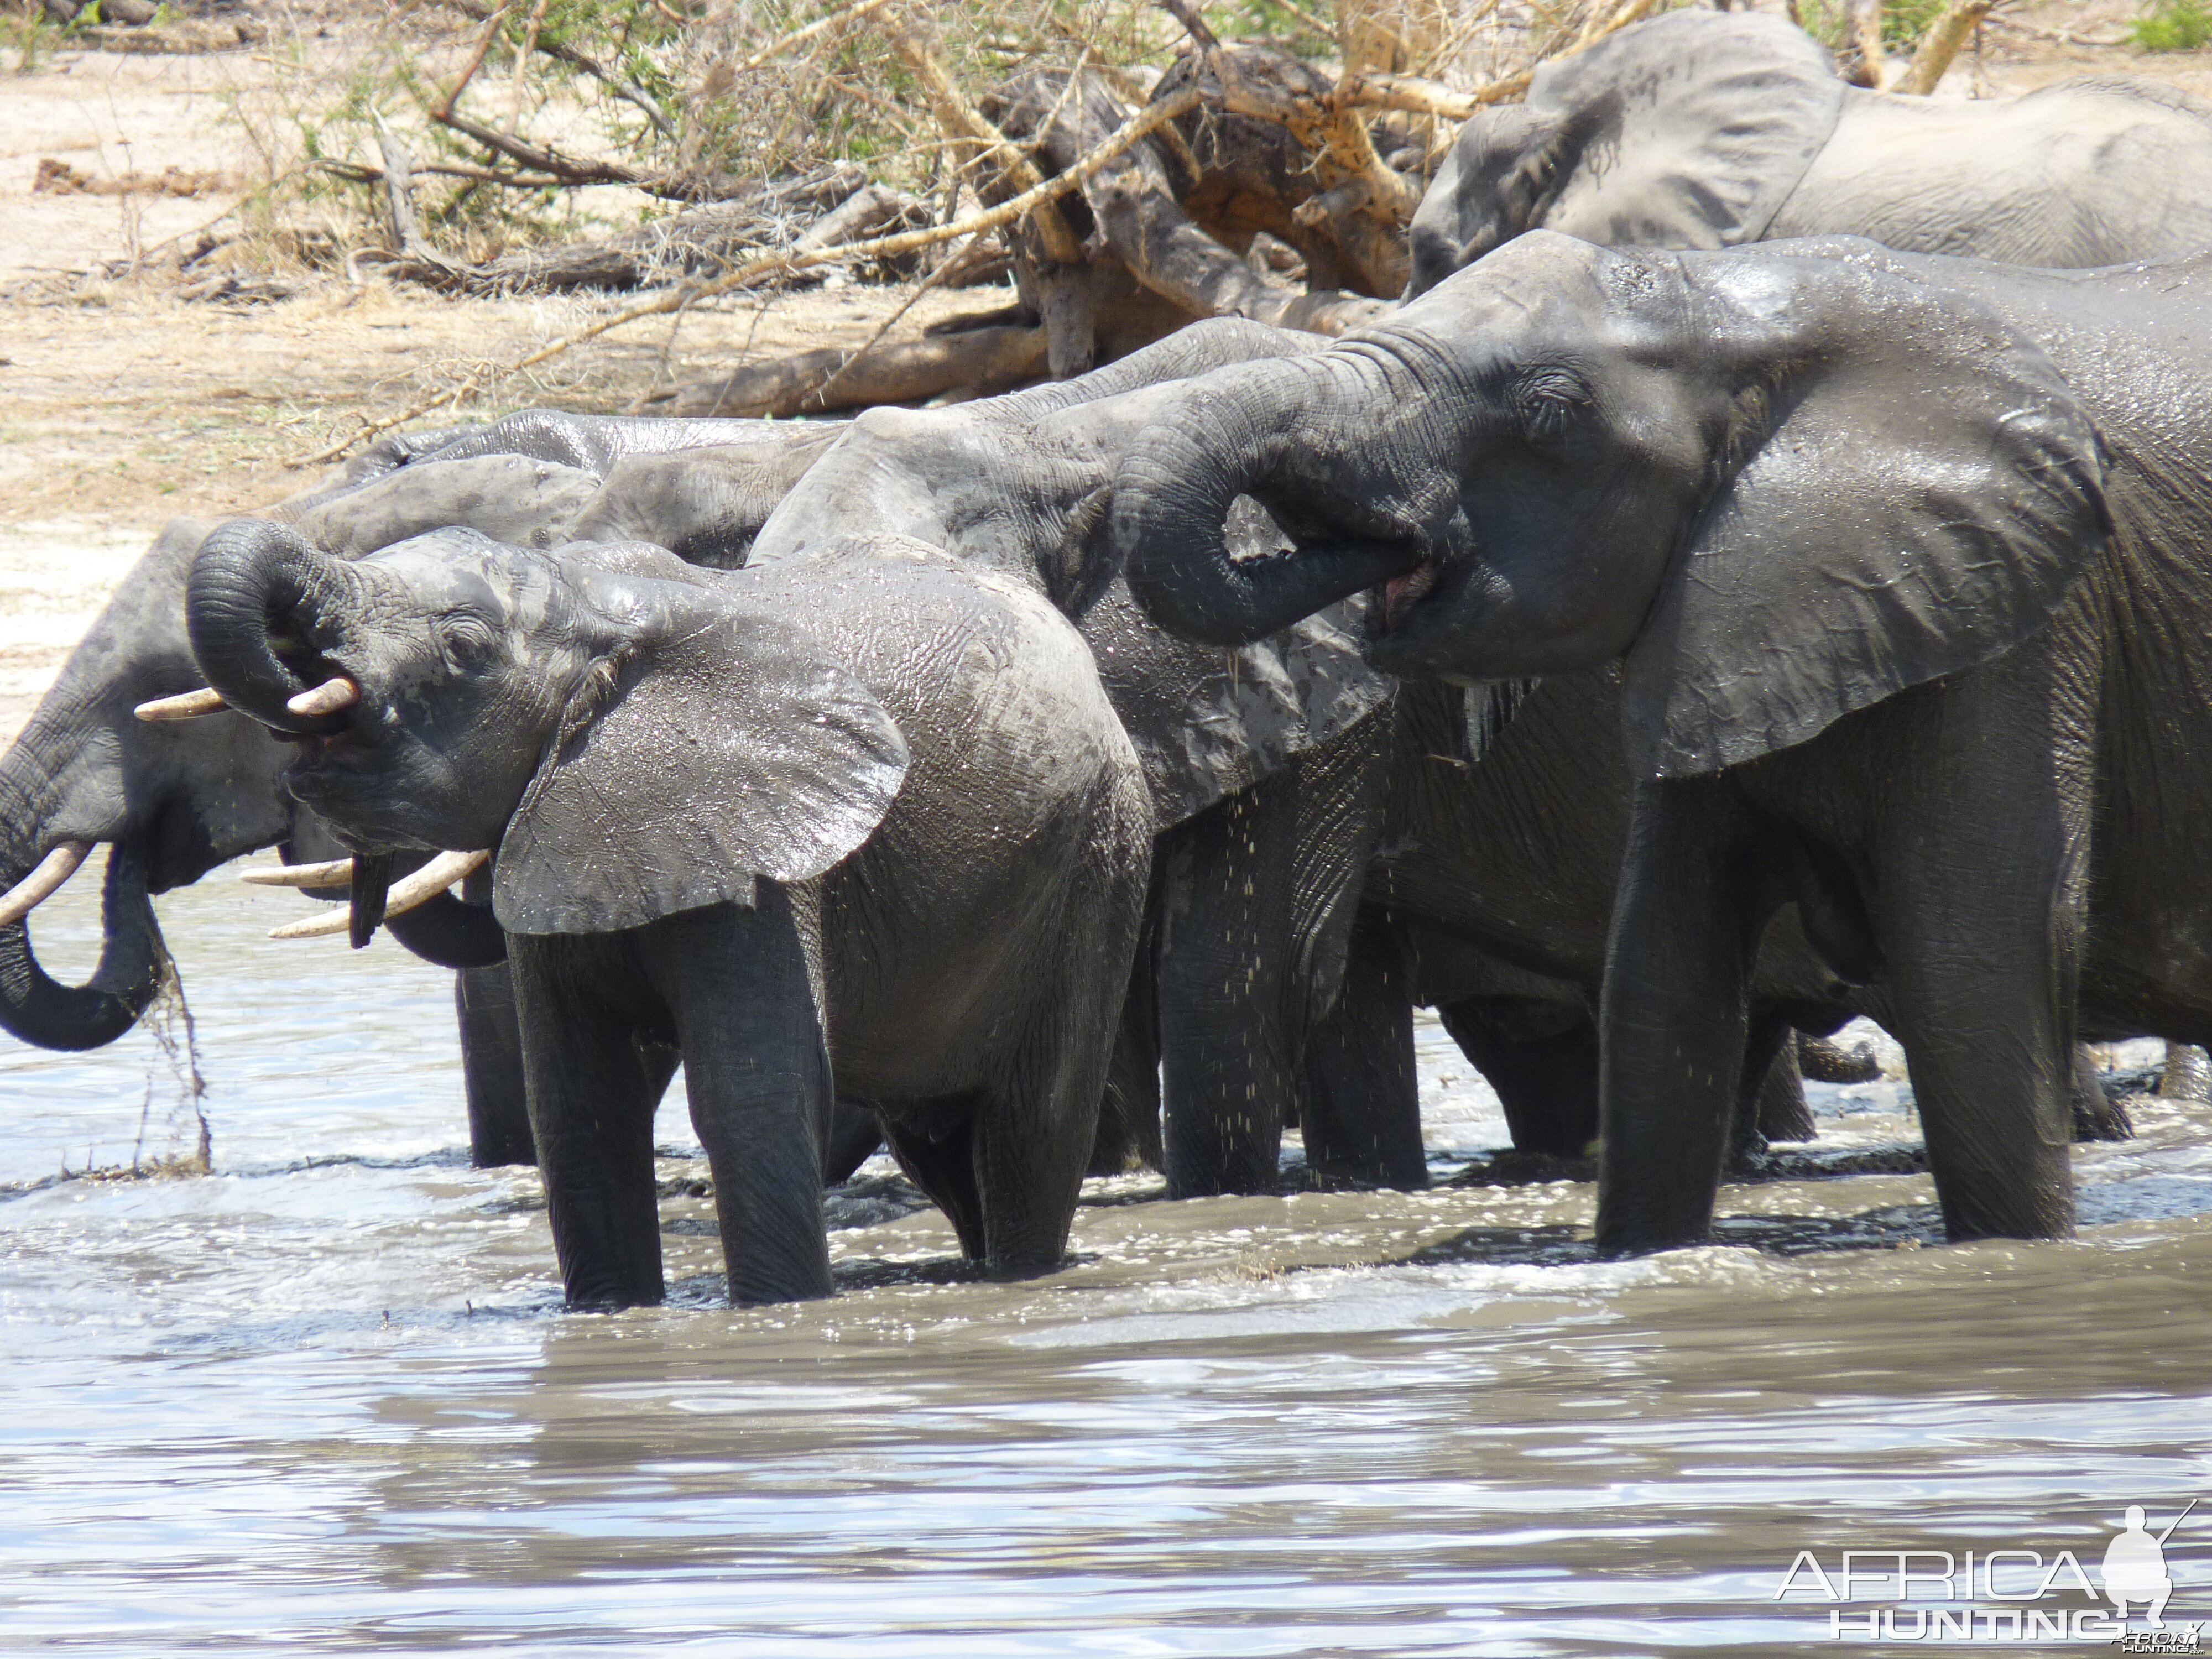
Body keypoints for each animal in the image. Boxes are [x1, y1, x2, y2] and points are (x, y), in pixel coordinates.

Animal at [184, 520, 1150, 1310]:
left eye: (462, 645)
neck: (598, 607)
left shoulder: (765, 863)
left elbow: (750, 1097)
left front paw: (778, 1319)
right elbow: (580, 1111)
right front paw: (611, 1320)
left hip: (1102, 857)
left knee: (1028, 1129)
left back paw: (1019, 1276)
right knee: (939, 1143)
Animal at [1115, 231, 2212, 1248]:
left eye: (1547, 413)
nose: (1356, 546)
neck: (1738, 306)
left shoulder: (2020, 616)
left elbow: (1972, 963)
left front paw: (2013, 1253)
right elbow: (1663, 971)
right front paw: (1638, 1257)